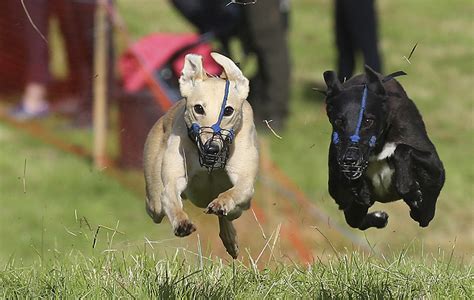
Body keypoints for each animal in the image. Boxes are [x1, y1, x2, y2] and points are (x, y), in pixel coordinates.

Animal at [143, 51, 260, 258]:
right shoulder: (172, 182)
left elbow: (235, 192)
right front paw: (182, 223)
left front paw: (222, 203)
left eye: (228, 110)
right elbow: (170, 196)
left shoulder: (245, 184)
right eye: (198, 108)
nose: (211, 148)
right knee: (157, 206)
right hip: (154, 201)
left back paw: (229, 237)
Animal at [322, 65, 444, 230]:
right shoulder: (341, 192)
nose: (350, 160)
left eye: (368, 120)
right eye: (339, 121)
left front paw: (409, 188)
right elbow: (354, 207)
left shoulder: (435, 167)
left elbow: (402, 150)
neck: (377, 148)